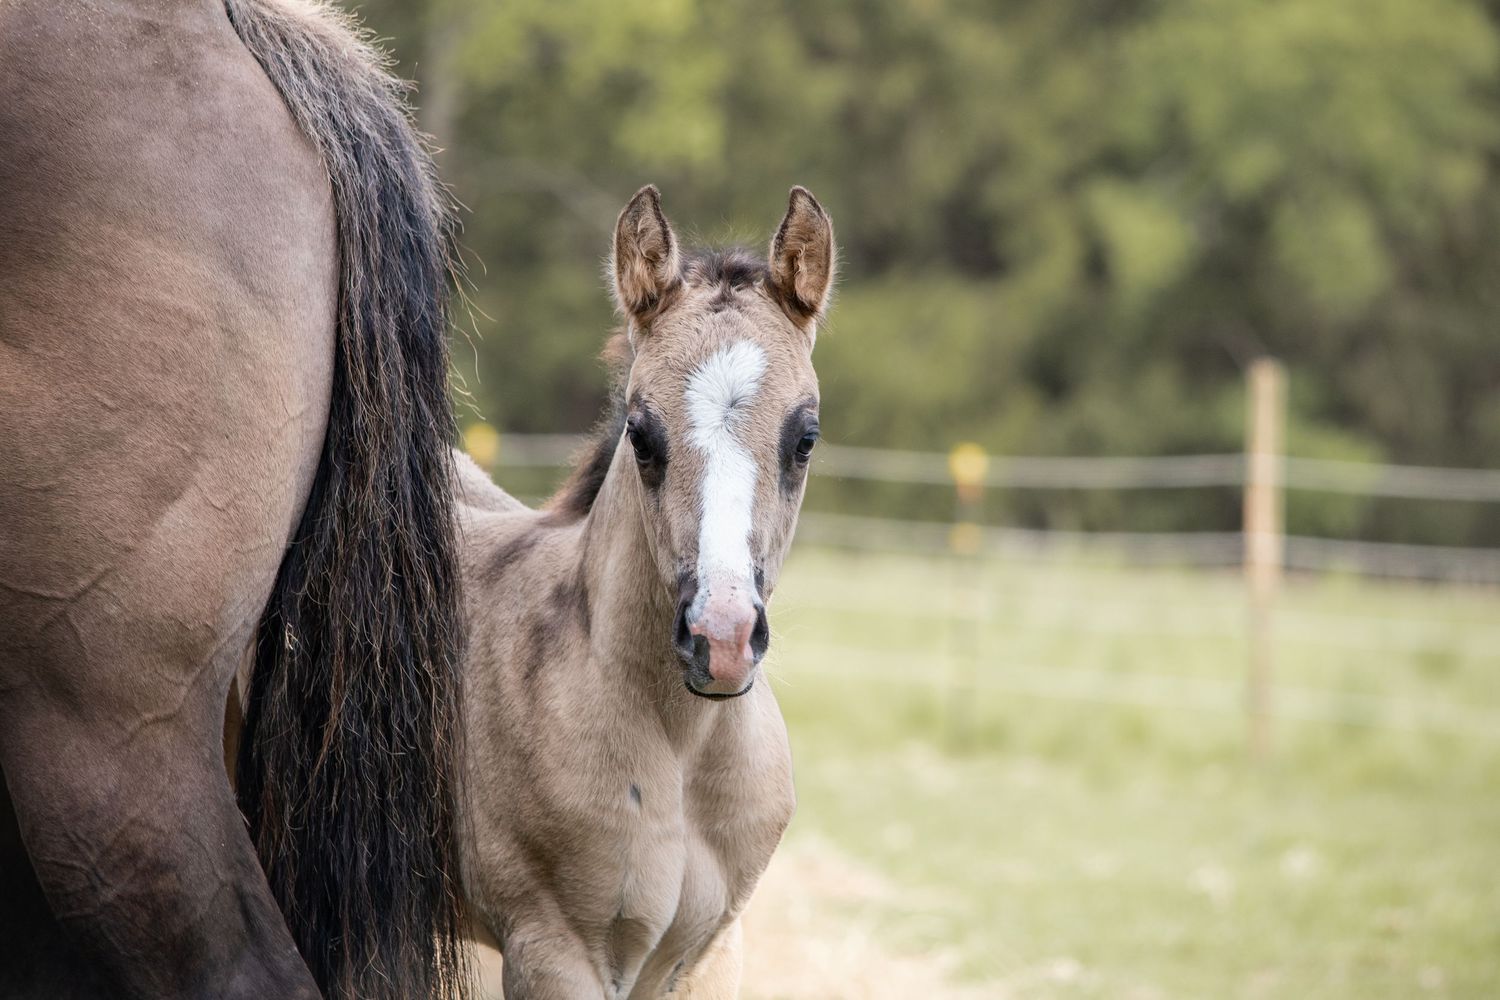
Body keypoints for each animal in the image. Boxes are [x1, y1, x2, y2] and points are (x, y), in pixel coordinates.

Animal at [450, 184, 835, 998]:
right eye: (640, 433)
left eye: (806, 438)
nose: (721, 639)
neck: (681, 752)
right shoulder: (553, 951)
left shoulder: (709, 955)